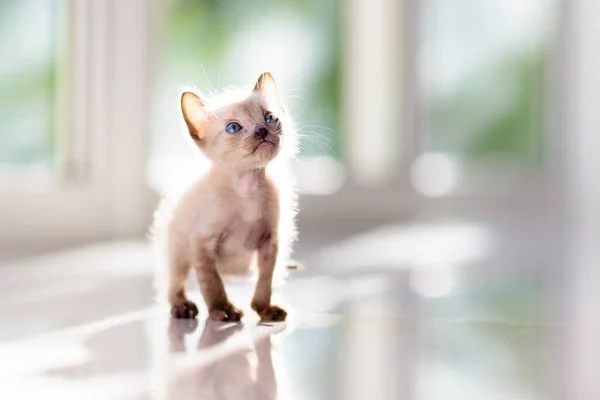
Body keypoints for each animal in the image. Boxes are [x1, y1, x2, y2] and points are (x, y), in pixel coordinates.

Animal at [152, 72, 298, 322]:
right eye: (233, 127)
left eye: (270, 118)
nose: (261, 130)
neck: (247, 187)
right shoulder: (202, 243)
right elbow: (212, 283)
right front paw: (223, 310)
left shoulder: (271, 241)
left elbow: (265, 280)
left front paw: (264, 309)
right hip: (177, 249)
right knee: (174, 282)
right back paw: (182, 307)